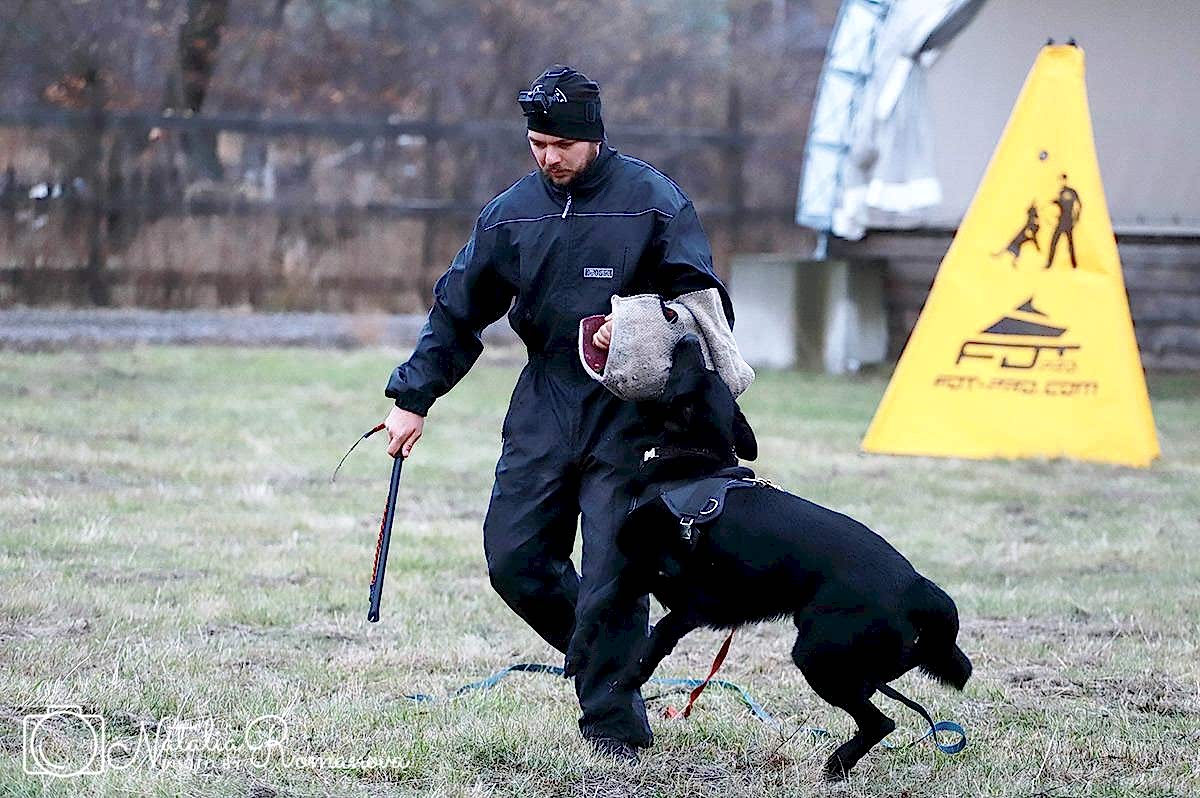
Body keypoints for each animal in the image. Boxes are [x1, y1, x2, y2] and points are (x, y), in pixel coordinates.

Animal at [565, 335, 972, 780]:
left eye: (694, 368)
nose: (687, 337)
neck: (693, 466)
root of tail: (917, 585)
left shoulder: (695, 604)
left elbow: (654, 638)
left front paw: (628, 677)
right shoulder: (642, 571)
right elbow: (598, 600)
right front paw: (576, 653)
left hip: (817, 655)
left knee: (882, 719)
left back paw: (837, 764)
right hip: (844, 658)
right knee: (890, 690)